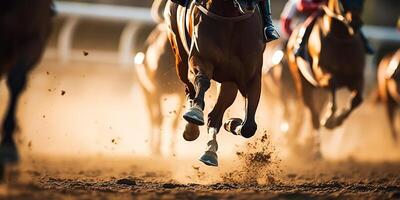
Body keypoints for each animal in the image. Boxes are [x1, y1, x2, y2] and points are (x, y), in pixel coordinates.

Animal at [134, 0, 185, 155]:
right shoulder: (157, 90)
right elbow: (160, 118)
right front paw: (158, 150)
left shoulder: (183, 93)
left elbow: (175, 121)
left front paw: (172, 149)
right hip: (145, 91)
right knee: (152, 118)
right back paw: (153, 147)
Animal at [164, 0, 268, 166]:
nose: (249, 4)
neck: (230, 18)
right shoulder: (200, 58)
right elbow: (202, 80)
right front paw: (195, 113)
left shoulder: (251, 78)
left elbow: (249, 127)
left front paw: (232, 123)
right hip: (180, 59)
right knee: (190, 90)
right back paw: (192, 128)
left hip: (228, 83)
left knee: (215, 117)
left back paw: (210, 152)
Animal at [288, 0, 366, 155]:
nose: (355, 22)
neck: (342, 38)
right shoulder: (321, 75)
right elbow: (332, 81)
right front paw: (330, 119)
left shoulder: (357, 76)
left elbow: (357, 99)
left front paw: (338, 120)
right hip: (302, 83)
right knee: (313, 116)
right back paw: (316, 150)